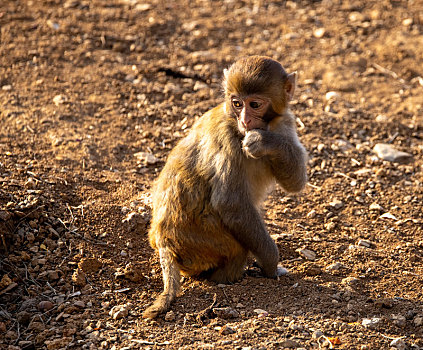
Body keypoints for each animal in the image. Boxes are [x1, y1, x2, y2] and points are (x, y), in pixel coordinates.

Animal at [143, 55, 308, 320]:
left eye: (255, 104)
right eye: (237, 104)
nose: (245, 120)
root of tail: (163, 240)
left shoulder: (285, 122)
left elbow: (295, 181)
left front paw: (264, 141)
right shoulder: (228, 140)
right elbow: (231, 204)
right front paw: (271, 265)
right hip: (202, 241)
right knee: (236, 245)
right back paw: (227, 276)